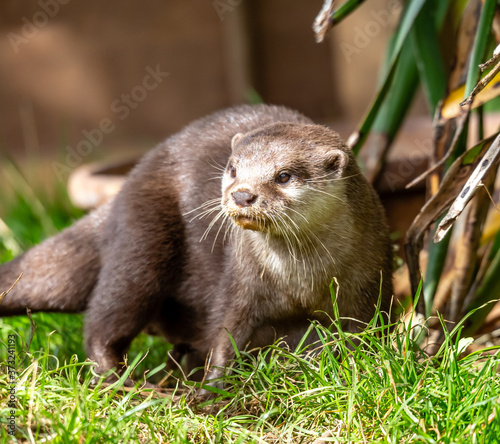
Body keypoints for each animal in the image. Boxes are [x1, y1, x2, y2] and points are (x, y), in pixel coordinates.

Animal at [0, 104, 390, 386]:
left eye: (284, 175)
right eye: (233, 168)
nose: (242, 194)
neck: (301, 282)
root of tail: (125, 188)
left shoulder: (368, 286)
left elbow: (362, 336)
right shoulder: (241, 282)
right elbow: (226, 337)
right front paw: (213, 393)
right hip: (142, 240)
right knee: (107, 317)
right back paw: (123, 382)